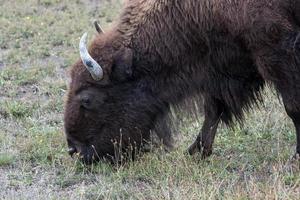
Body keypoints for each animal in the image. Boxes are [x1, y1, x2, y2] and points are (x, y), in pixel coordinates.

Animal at [64, 0, 300, 164]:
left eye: (87, 99)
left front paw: (296, 156)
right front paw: (196, 151)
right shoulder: (222, 65)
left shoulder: (276, 52)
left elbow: (292, 107)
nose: (74, 150)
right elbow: (213, 109)